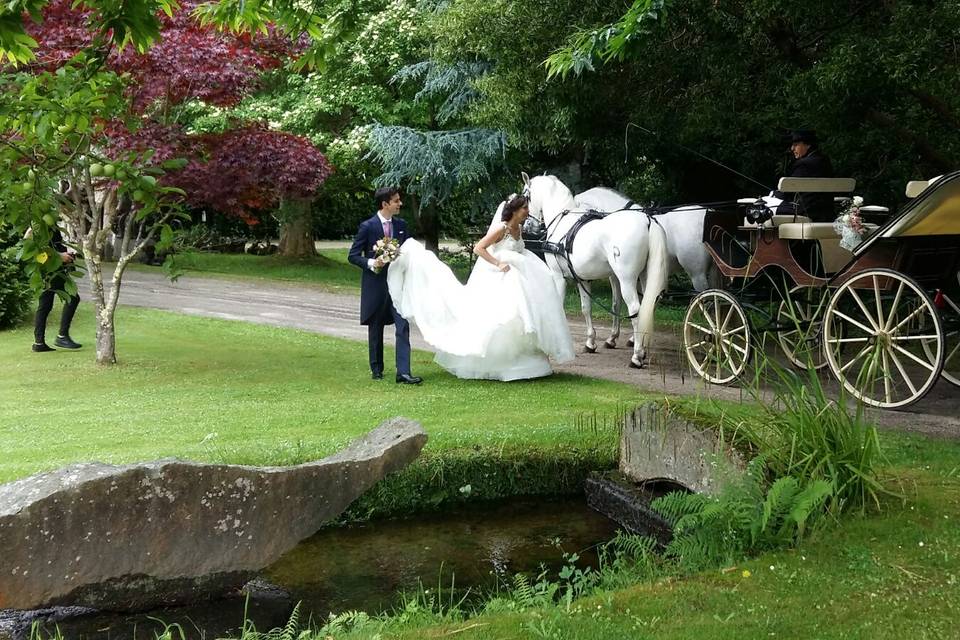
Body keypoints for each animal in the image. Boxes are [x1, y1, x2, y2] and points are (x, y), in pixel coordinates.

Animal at [520, 172, 672, 368]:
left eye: (525, 196)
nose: (527, 226)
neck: (563, 223)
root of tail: (647, 221)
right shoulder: (582, 279)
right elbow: (586, 308)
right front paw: (590, 343)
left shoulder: (558, 275)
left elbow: (559, 305)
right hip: (645, 276)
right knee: (648, 306)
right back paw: (643, 351)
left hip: (627, 279)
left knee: (635, 310)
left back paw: (637, 356)